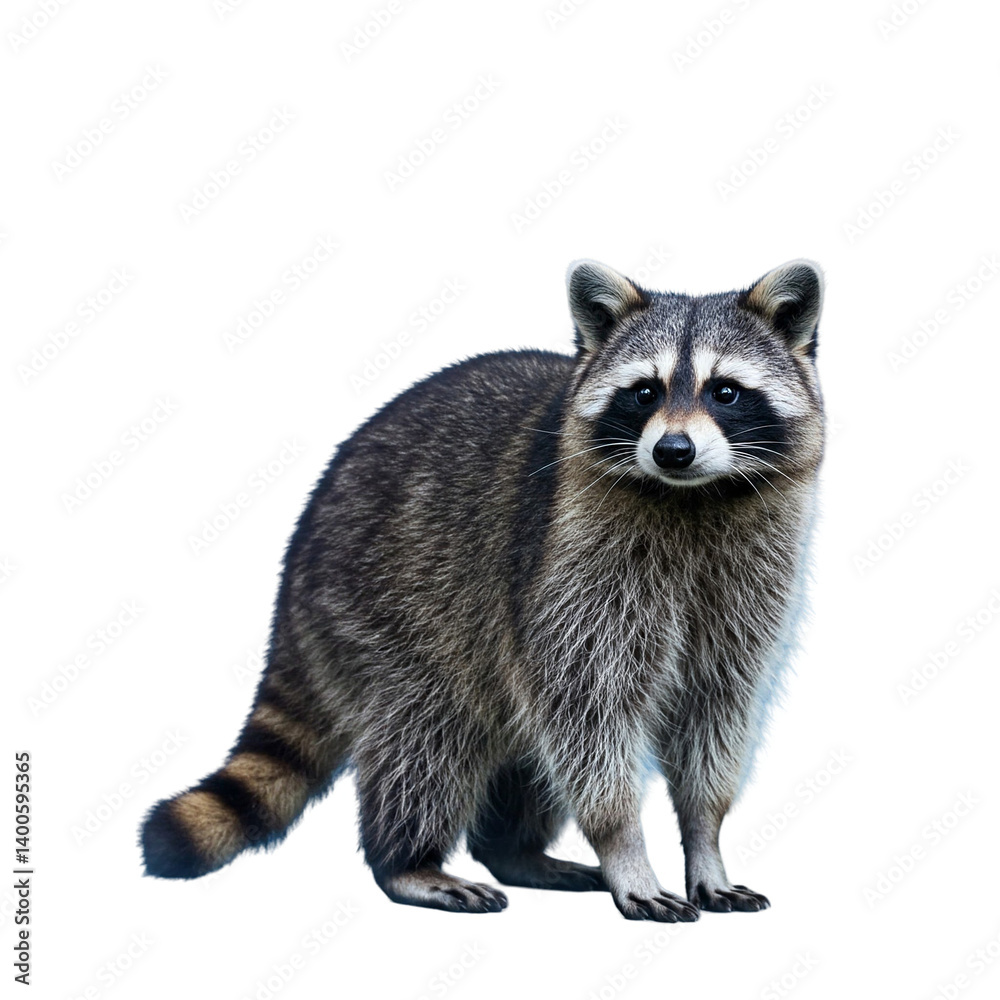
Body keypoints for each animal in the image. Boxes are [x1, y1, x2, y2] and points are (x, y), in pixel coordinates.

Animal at [141, 258, 824, 921]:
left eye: (726, 391)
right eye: (644, 391)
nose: (673, 450)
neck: (691, 497)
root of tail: (297, 552)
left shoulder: (750, 586)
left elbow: (716, 710)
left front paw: (706, 840)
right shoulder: (566, 567)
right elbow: (588, 711)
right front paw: (624, 846)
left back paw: (513, 852)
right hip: (381, 600)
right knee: (428, 731)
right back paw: (407, 862)